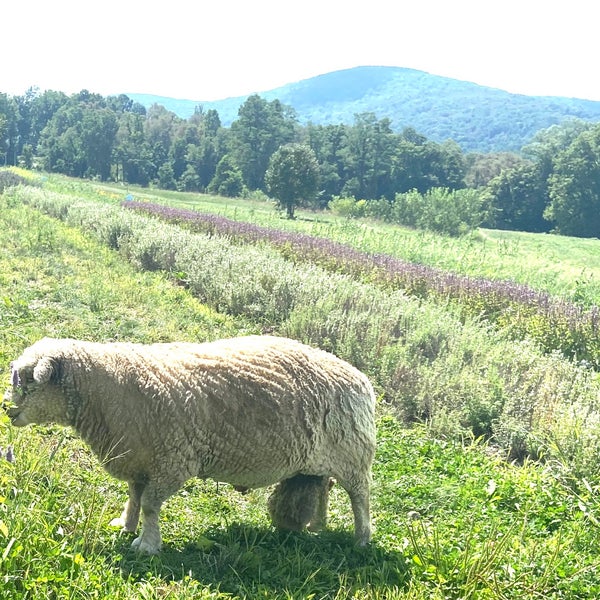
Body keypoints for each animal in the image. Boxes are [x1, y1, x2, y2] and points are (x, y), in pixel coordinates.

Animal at [4, 336, 378, 552]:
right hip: (320, 459)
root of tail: (361, 379)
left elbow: (150, 505)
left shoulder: (173, 461)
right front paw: (125, 525)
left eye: (29, 383)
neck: (109, 387)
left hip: (353, 456)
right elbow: (135, 498)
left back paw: (361, 540)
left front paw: (146, 544)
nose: (8, 411)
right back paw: (316, 527)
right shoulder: (140, 460)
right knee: (325, 486)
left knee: (359, 499)